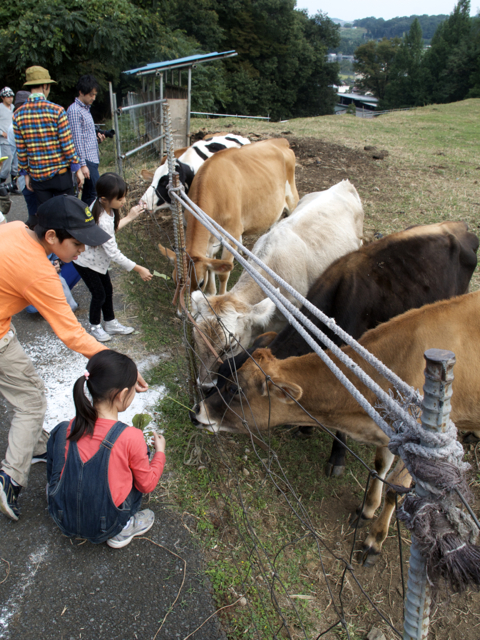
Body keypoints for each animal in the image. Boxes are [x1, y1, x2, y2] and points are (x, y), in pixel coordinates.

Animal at [159, 139, 298, 296]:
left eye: (200, 283)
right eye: (174, 280)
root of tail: (278, 141)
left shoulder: (232, 234)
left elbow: (223, 274)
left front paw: (219, 295)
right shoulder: (211, 240)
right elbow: (212, 265)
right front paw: (211, 291)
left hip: (292, 198)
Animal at [193, 290, 480, 564]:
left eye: (234, 389)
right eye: (222, 377)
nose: (197, 411)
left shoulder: (419, 449)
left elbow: (395, 489)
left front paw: (375, 540)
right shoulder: (389, 432)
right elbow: (380, 467)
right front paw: (366, 509)